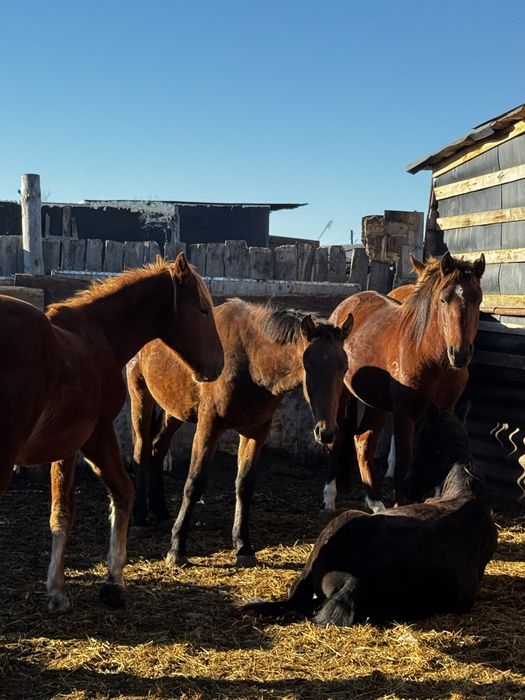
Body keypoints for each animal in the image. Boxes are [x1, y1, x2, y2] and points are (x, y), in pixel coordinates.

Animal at [0, 253, 223, 612]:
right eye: (202, 309)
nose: (217, 365)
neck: (99, 335)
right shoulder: (97, 437)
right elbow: (124, 492)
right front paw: (114, 580)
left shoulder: (66, 448)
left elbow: (61, 514)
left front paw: (57, 590)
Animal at [127, 298, 353, 567]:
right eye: (308, 365)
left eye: (344, 367)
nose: (327, 432)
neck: (250, 360)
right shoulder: (209, 425)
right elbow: (194, 483)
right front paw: (177, 548)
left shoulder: (256, 430)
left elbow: (245, 484)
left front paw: (243, 546)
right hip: (141, 396)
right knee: (142, 452)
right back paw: (139, 519)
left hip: (173, 409)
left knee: (157, 450)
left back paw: (161, 513)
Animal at [242, 411, 498, 626]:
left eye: (419, 440)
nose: (409, 486)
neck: (463, 490)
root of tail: (359, 581)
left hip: (341, 522)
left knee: (298, 600)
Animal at [326, 252, 485, 512]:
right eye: (444, 299)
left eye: (478, 300)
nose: (460, 354)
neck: (431, 358)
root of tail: (345, 305)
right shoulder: (405, 415)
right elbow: (403, 466)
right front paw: (403, 505)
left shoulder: (444, 411)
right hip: (341, 396)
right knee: (337, 441)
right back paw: (329, 498)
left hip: (378, 404)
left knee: (363, 441)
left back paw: (376, 503)